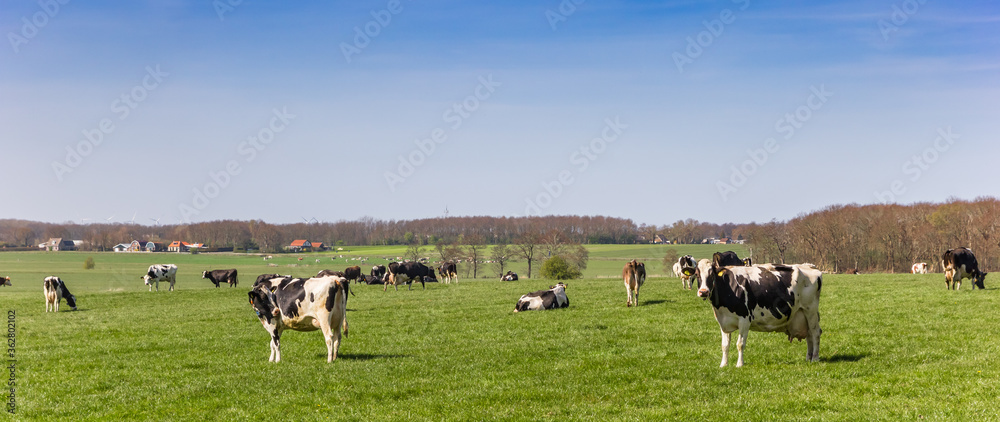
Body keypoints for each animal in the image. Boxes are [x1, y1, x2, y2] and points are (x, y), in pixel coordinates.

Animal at [692, 256, 824, 368]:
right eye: (697, 274)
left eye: (711, 275)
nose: (703, 292)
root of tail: (809, 266)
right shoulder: (723, 322)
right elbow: (725, 345)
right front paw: (723, 365)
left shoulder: (745, 319)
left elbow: (740, 344)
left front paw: (739, 364)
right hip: (803, 314)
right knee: (809, 334)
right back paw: (808, 357)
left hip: (810, 310)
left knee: (815, 332)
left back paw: (815, 358)